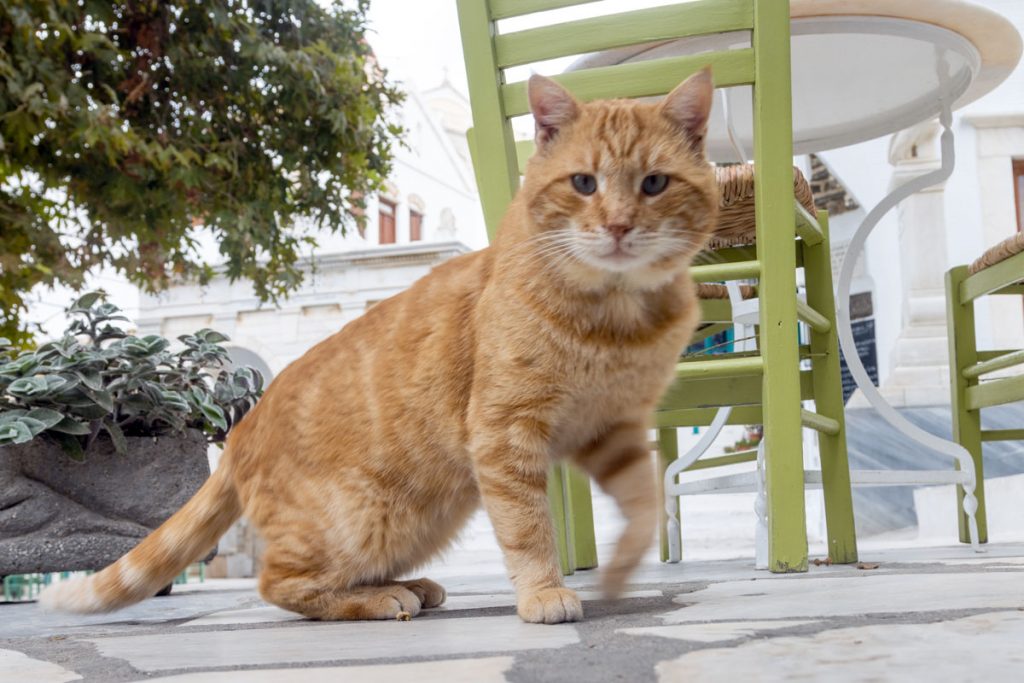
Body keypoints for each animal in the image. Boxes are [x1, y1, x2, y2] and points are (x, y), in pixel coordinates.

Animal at [41, 68, 720, 626]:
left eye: (654, 184)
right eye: (583, 183)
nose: (618, 226)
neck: (617, 315)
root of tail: (240, 430)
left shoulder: (615, 429)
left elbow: (645, 501)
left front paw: (626, 565)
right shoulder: (504, 433)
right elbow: (529, 527)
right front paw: (544, 591)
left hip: (427, 514)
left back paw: (409, 585)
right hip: (367, 517)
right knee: (278, 584)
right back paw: (379, 599)